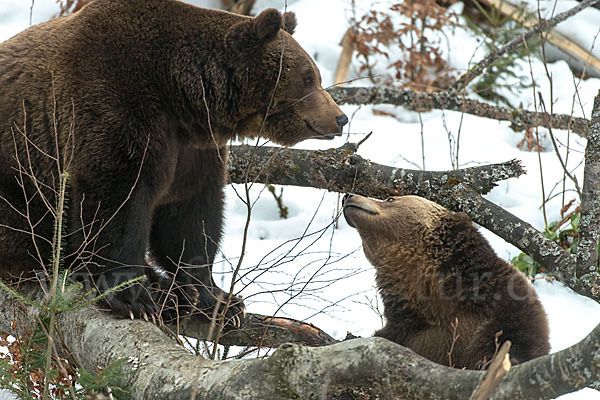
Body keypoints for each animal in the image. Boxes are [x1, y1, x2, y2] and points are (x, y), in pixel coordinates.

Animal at [0, 0, 346, 324]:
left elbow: (190, 218)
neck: (179, 94)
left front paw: (220, 299)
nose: (340, 117)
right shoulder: (117, 109)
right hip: (20, 174)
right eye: (308, 79)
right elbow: (115, 203)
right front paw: (135, 298)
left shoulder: (192, 150)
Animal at [342, 194, 548, 368]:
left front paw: (491, 363)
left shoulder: (506, 303)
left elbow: (518, 341)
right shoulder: (406, 326)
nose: (348, 195)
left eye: (390, 198)